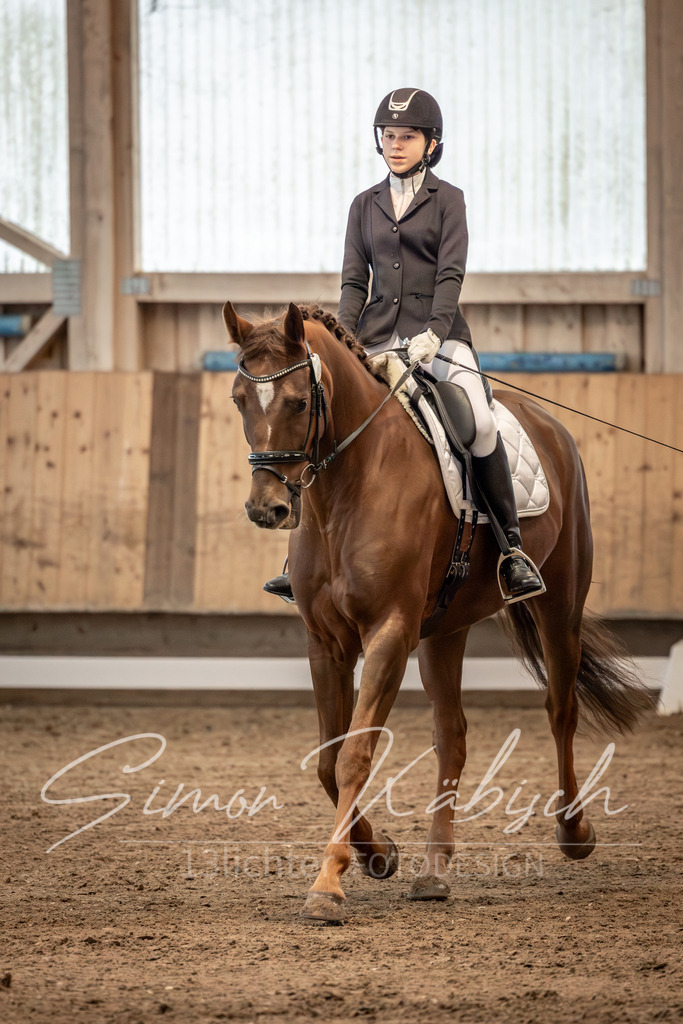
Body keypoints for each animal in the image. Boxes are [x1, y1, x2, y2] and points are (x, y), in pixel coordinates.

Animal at [223, 300, 655, 924]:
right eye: (238, 399)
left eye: (300, 402)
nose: (268, 509)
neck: (347, 489)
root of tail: (549, 425)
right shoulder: (326, 641)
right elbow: (329, 760)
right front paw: (380, 855)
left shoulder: (390, 633)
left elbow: (355, 756)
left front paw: (328, 885)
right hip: (444, 631)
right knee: (452, 734)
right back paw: (434, 871)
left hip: (559, 605)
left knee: (561, 710)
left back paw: (575, 833)